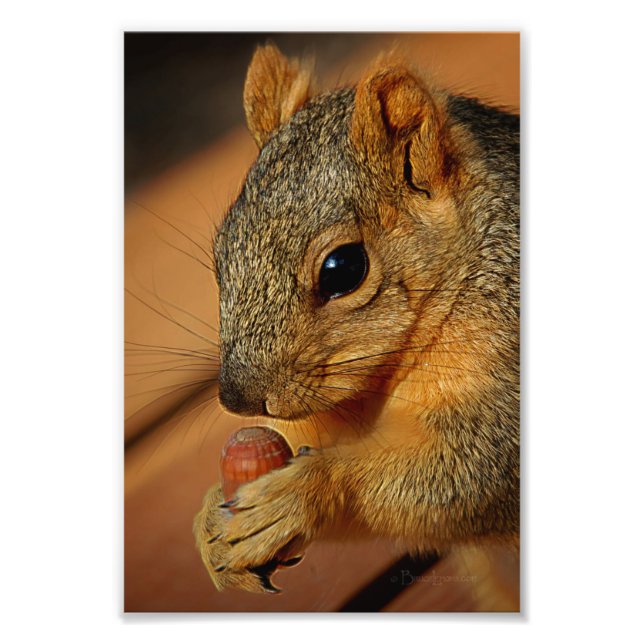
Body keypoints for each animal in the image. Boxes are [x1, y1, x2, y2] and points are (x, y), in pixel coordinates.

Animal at [193, 43, 519, 594]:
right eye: (221, 256)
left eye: (343, 268)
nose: (237, 400)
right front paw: (209, 521)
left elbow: (477, 476)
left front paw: (302, 492)